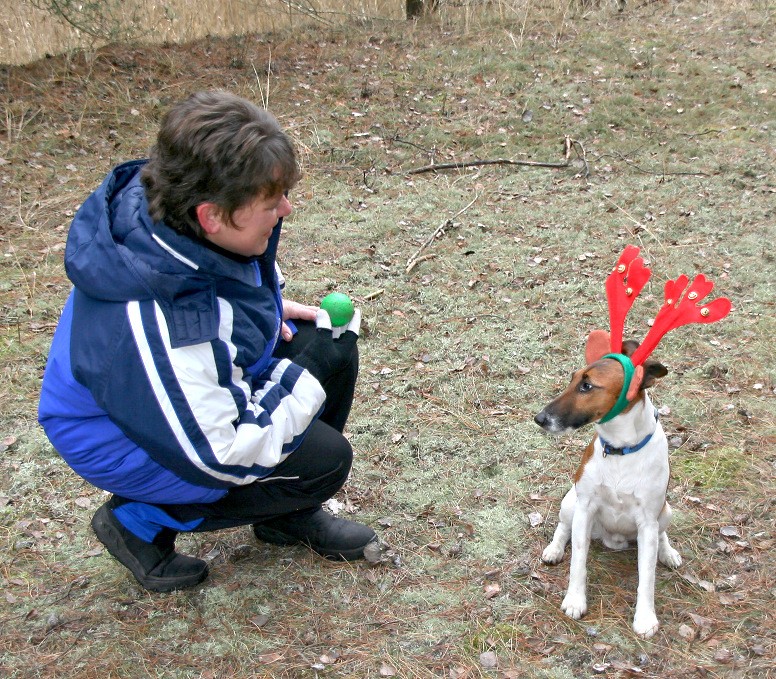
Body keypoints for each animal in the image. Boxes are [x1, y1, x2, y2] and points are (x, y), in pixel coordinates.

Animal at [536, 338, 684, 640]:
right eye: (572, 379)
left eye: (587, 386)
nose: (539, 418)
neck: (619, 450)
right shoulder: (585, 508)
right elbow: (578, 561)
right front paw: (575, 600)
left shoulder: (648, 523)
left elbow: (647, 577)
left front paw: (645, 618)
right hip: (570, 501)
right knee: (562, 527)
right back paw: (554, 549)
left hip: (666, 511)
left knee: (662, 535)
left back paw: (668, 553)